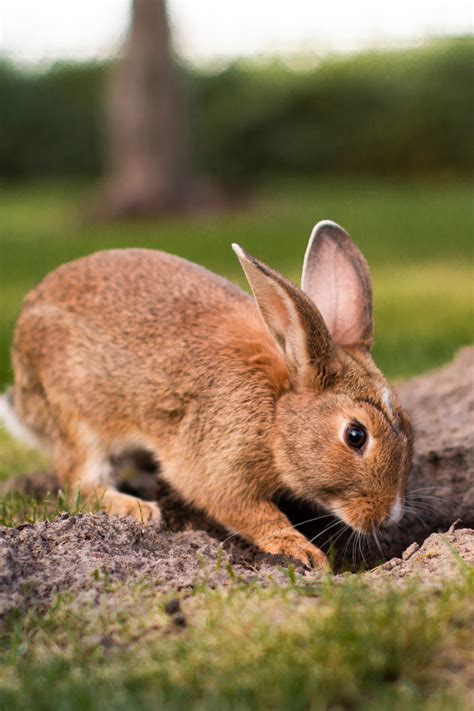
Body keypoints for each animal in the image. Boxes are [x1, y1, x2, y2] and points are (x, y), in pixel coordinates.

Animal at [1, 220, 412, 572]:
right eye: (355, 436)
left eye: (409, 427)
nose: (388, 516)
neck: (276, 413)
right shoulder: (219, 464)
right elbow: (249, 511)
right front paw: (304, 553)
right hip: (78, 418)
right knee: (78, 481)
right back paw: (137, 509)